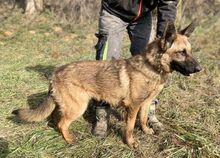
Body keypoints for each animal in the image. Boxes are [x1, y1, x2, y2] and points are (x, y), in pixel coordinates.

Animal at [12, 21, 201, 148]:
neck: (151, 67)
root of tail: (55, 73)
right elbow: (130, 127)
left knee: (55, 118)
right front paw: (130, 142)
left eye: (191, 51)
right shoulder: (133, 107)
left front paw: (146, 131)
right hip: (78, 107)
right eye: (181, 52)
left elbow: (143, 119)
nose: (200, 69)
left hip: (66, 105)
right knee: (62, 123)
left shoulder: (145, 103)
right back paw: (70, 139)